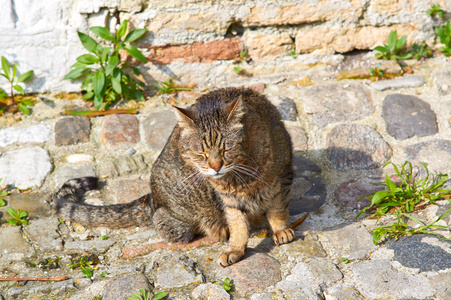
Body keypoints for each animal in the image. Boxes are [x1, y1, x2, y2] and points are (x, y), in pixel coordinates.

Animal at [53, 86, 294, 264]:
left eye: (226, 150)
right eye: (200, 153)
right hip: (179, 220)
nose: (215, 167)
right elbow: (238, 225)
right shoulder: (230, 200)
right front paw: (235, 248)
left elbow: (277, 210)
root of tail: (151, 197)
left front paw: (281, 230)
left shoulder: (281, 178)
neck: (240, 177)